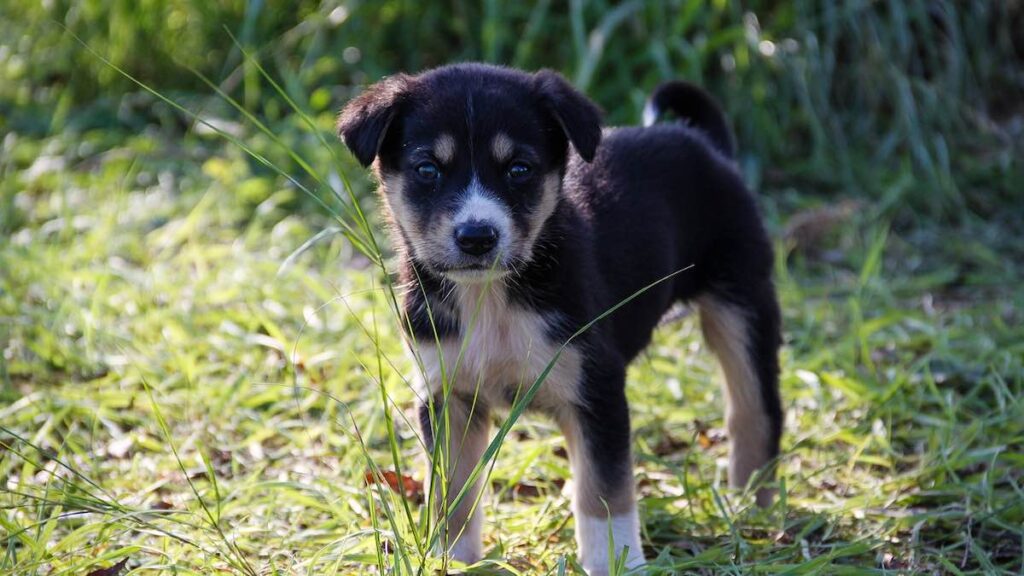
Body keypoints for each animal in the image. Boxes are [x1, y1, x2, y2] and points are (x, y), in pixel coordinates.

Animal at [339, 65, 778, 569]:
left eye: (519, 169)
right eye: (427, 169)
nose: (477, 237)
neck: (493, 298)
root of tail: (704, 145)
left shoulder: (597, 388)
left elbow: (604, 492)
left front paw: (613, 562)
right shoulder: (448, 394)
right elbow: (454, 492)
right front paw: (453, 559)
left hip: (742, 300)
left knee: (755, 409)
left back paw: (751, 508)